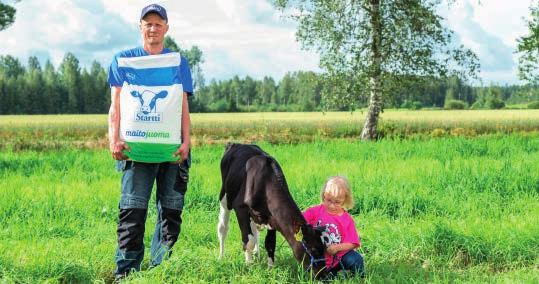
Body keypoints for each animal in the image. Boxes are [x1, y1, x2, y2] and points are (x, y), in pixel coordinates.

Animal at [217, 143, 326, 276]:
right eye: (314, 249)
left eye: (324, 249)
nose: (324, 274)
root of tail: (236, 144)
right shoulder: (240, 208)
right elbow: (248, 241)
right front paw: (248, 266)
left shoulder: (272, 218)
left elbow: (270, 243)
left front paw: (270, 270)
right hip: (225, 197)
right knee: (223, 227)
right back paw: (221, 257)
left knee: (255, 230)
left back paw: (256, 254)